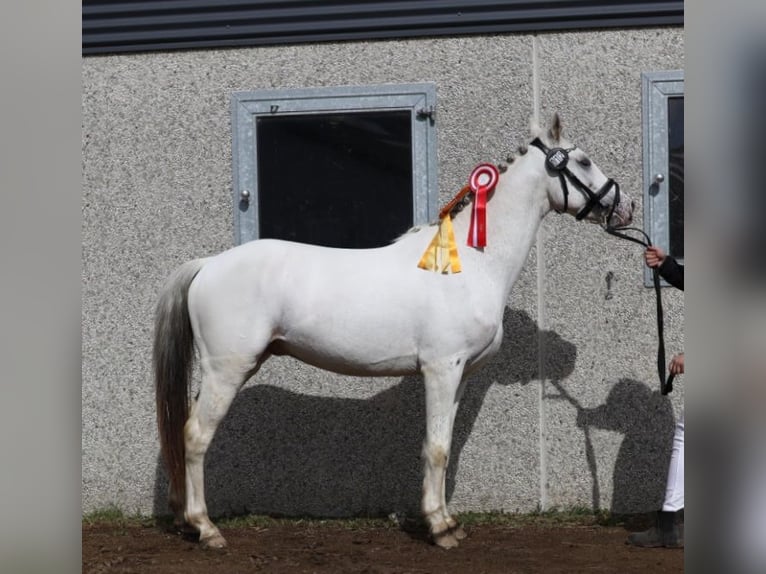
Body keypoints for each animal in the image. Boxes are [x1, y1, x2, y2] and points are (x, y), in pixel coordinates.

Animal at [154, 113, 635, 549]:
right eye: (584, 161)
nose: (625, 207)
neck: (473, 264)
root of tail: (208, 265)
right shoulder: (441, 368)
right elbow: (436, 448)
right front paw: (439, 531)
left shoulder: (459, 375)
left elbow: (443, 446)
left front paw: (447, 521)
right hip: (226, 370)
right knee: (195, 436)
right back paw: (206, 529)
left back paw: (188, 523)